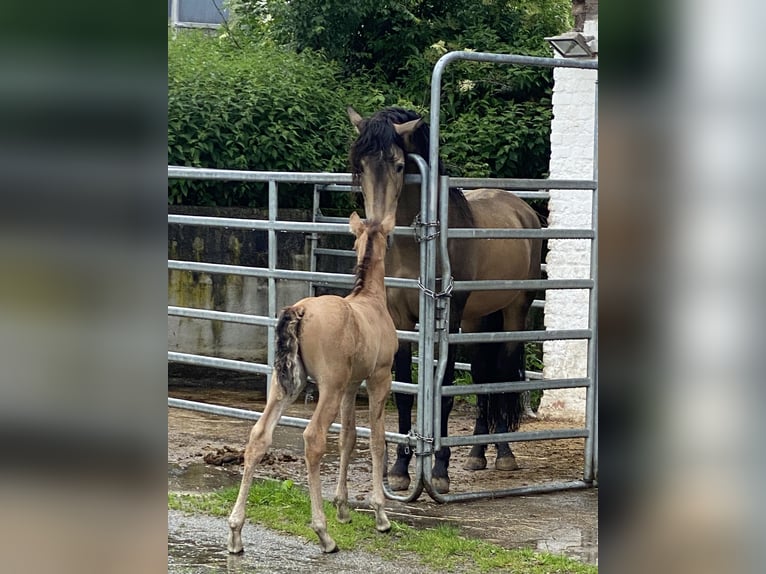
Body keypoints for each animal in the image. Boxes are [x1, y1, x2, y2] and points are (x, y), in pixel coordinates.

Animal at [350, 107, 544, 496]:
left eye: (398, 165)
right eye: (360, 167)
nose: (377, 227)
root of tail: (523, 209)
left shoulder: (448, 317)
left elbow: (446, 390)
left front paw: (438, 471)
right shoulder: (401, 319)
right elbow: (405, 391)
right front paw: (400, 469)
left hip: (513, 312)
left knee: (501, 375)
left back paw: (503, 454)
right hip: (478, 320)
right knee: (484, 375)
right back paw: (477, 454)